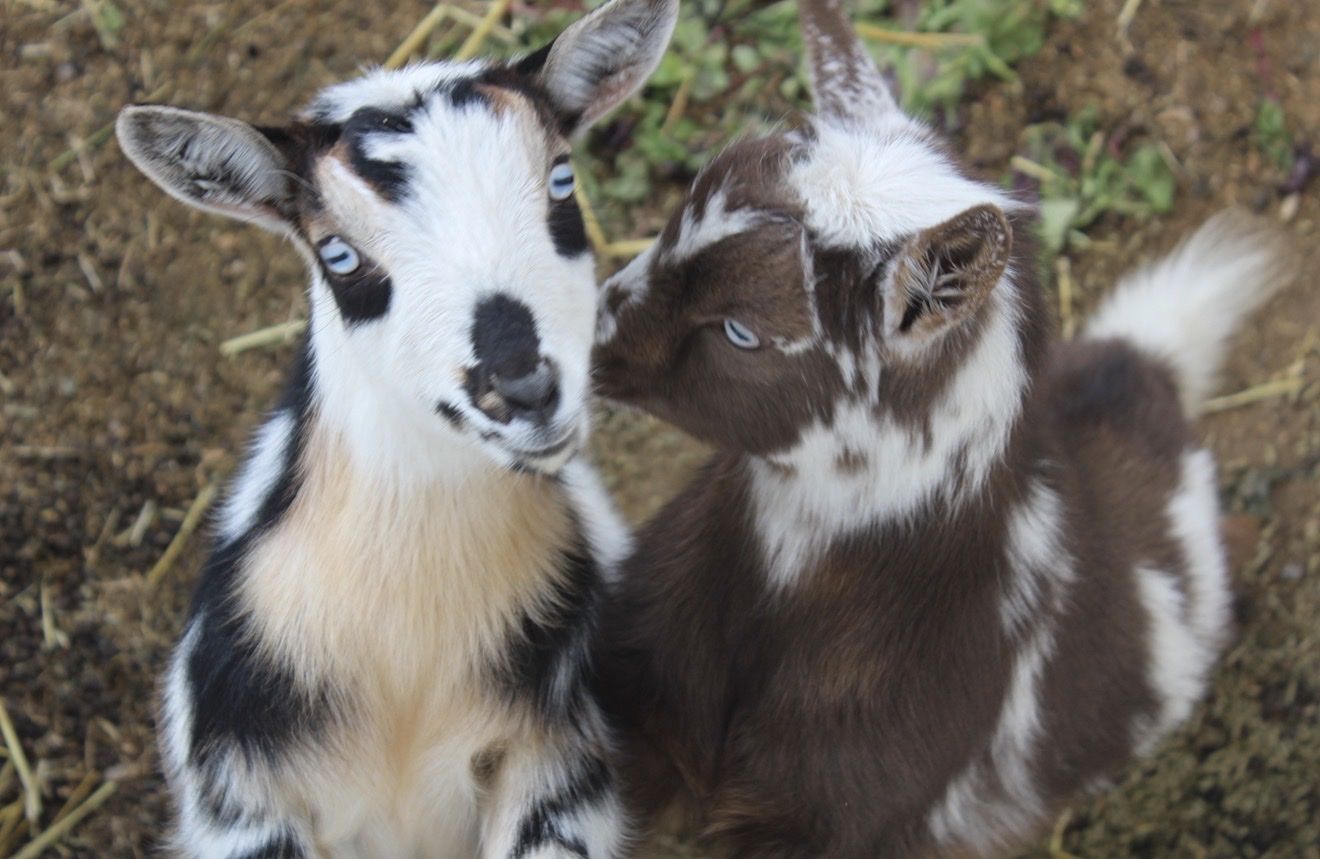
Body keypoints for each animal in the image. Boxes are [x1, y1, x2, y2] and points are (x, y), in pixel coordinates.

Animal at [116, 1, 677, 855]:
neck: (405, 648)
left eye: (561, 179)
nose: (525, 389)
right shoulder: (239, 799)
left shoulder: (561, 766)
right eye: (338, 254)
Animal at [590, 0, 1293, 856]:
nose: (579, 339)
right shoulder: (637, 690)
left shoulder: (833, 815)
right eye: (669, 227)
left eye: (740, 330)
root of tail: (1142, 369)